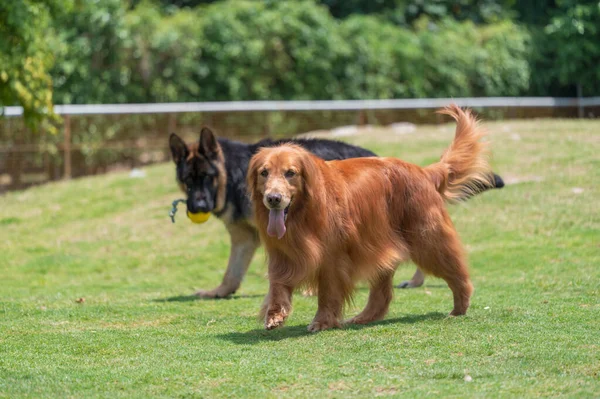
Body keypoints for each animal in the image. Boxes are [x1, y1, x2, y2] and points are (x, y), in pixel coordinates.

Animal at [168, 129, 502, 300]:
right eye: (188, 180)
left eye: (207, 177)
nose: (197, 207)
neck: (233, 172)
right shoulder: (244, 237)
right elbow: (232, 272)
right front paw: (220, 292)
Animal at [246, 104, 490, 332]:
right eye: (264, 172)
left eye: (290, 173)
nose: (273, 198)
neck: (303, 214)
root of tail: (423, 171)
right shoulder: (283, 255)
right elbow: (278, 285)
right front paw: (275, 315)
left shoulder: (333, 258)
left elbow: (327, 293)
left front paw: (322, 321)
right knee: (382, 294)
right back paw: (365, 317)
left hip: (428, 241)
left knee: (458, 274)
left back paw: (459, 307)